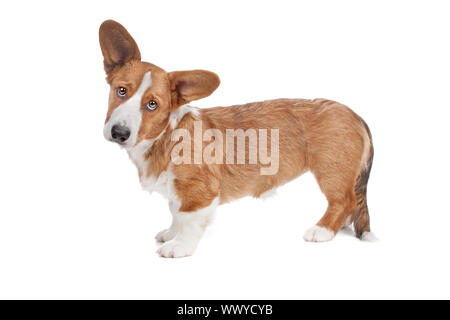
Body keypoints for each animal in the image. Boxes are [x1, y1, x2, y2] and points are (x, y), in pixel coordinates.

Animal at [99, 20, 376, 258]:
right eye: (121, 91)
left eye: (152, 104)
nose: (119, 133)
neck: (164, 135)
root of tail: (356, 115)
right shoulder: (177, 192)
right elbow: (175, 212)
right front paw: (171, 233)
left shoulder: (199, 191)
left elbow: (188, 219)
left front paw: (179, 246)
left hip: (331, 171)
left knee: (344, 201)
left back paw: (322, 230)